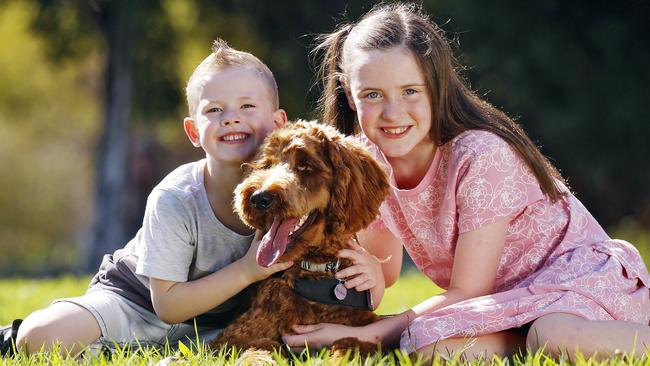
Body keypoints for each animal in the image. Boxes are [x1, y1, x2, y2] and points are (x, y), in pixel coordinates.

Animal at [210, 120, 388, 354]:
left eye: (305, 166)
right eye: (267, 165)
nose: (259, 198)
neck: (314, 272)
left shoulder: (363, 325)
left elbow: (350, 342)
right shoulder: (228, 338)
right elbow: (263, 345)